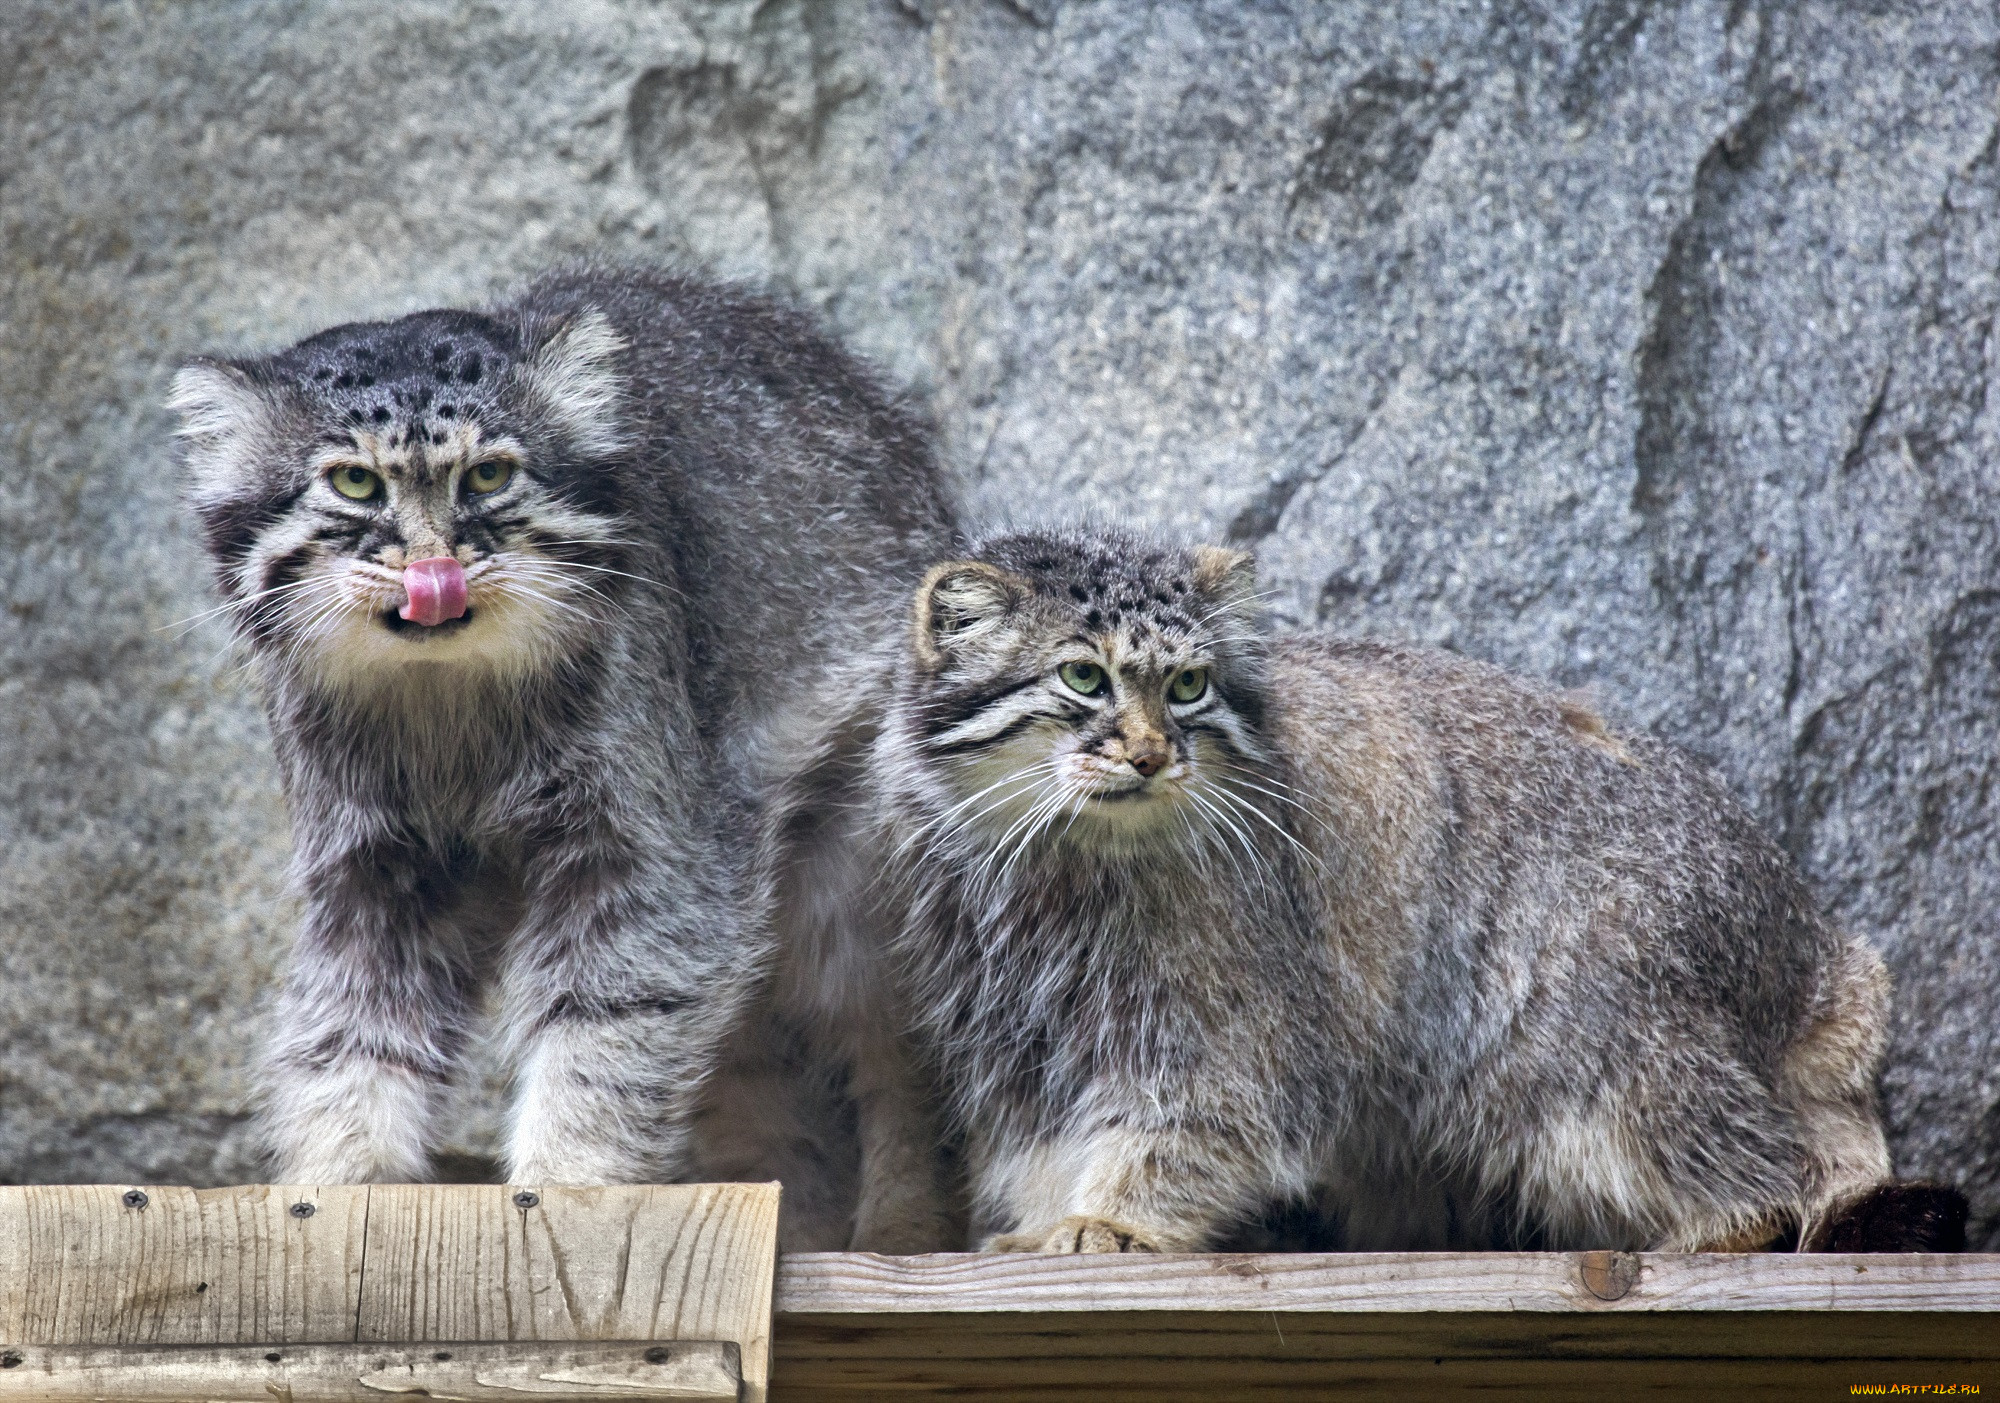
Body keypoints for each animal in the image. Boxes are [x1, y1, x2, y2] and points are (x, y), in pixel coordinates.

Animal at [784, 527, 1968, 1255]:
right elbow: (1036, 1132)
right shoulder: (1012, 1017)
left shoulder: (1233, 1022)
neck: (1054, 859)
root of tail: (1812, 940)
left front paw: (1115, 1221)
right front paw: (1042, 1221)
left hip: (1593, 1033)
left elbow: (1187, 1119)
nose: (1154, 752)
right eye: (1082, 676)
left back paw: (1723, 1224)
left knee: (1759, 1162)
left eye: (1187, 685)